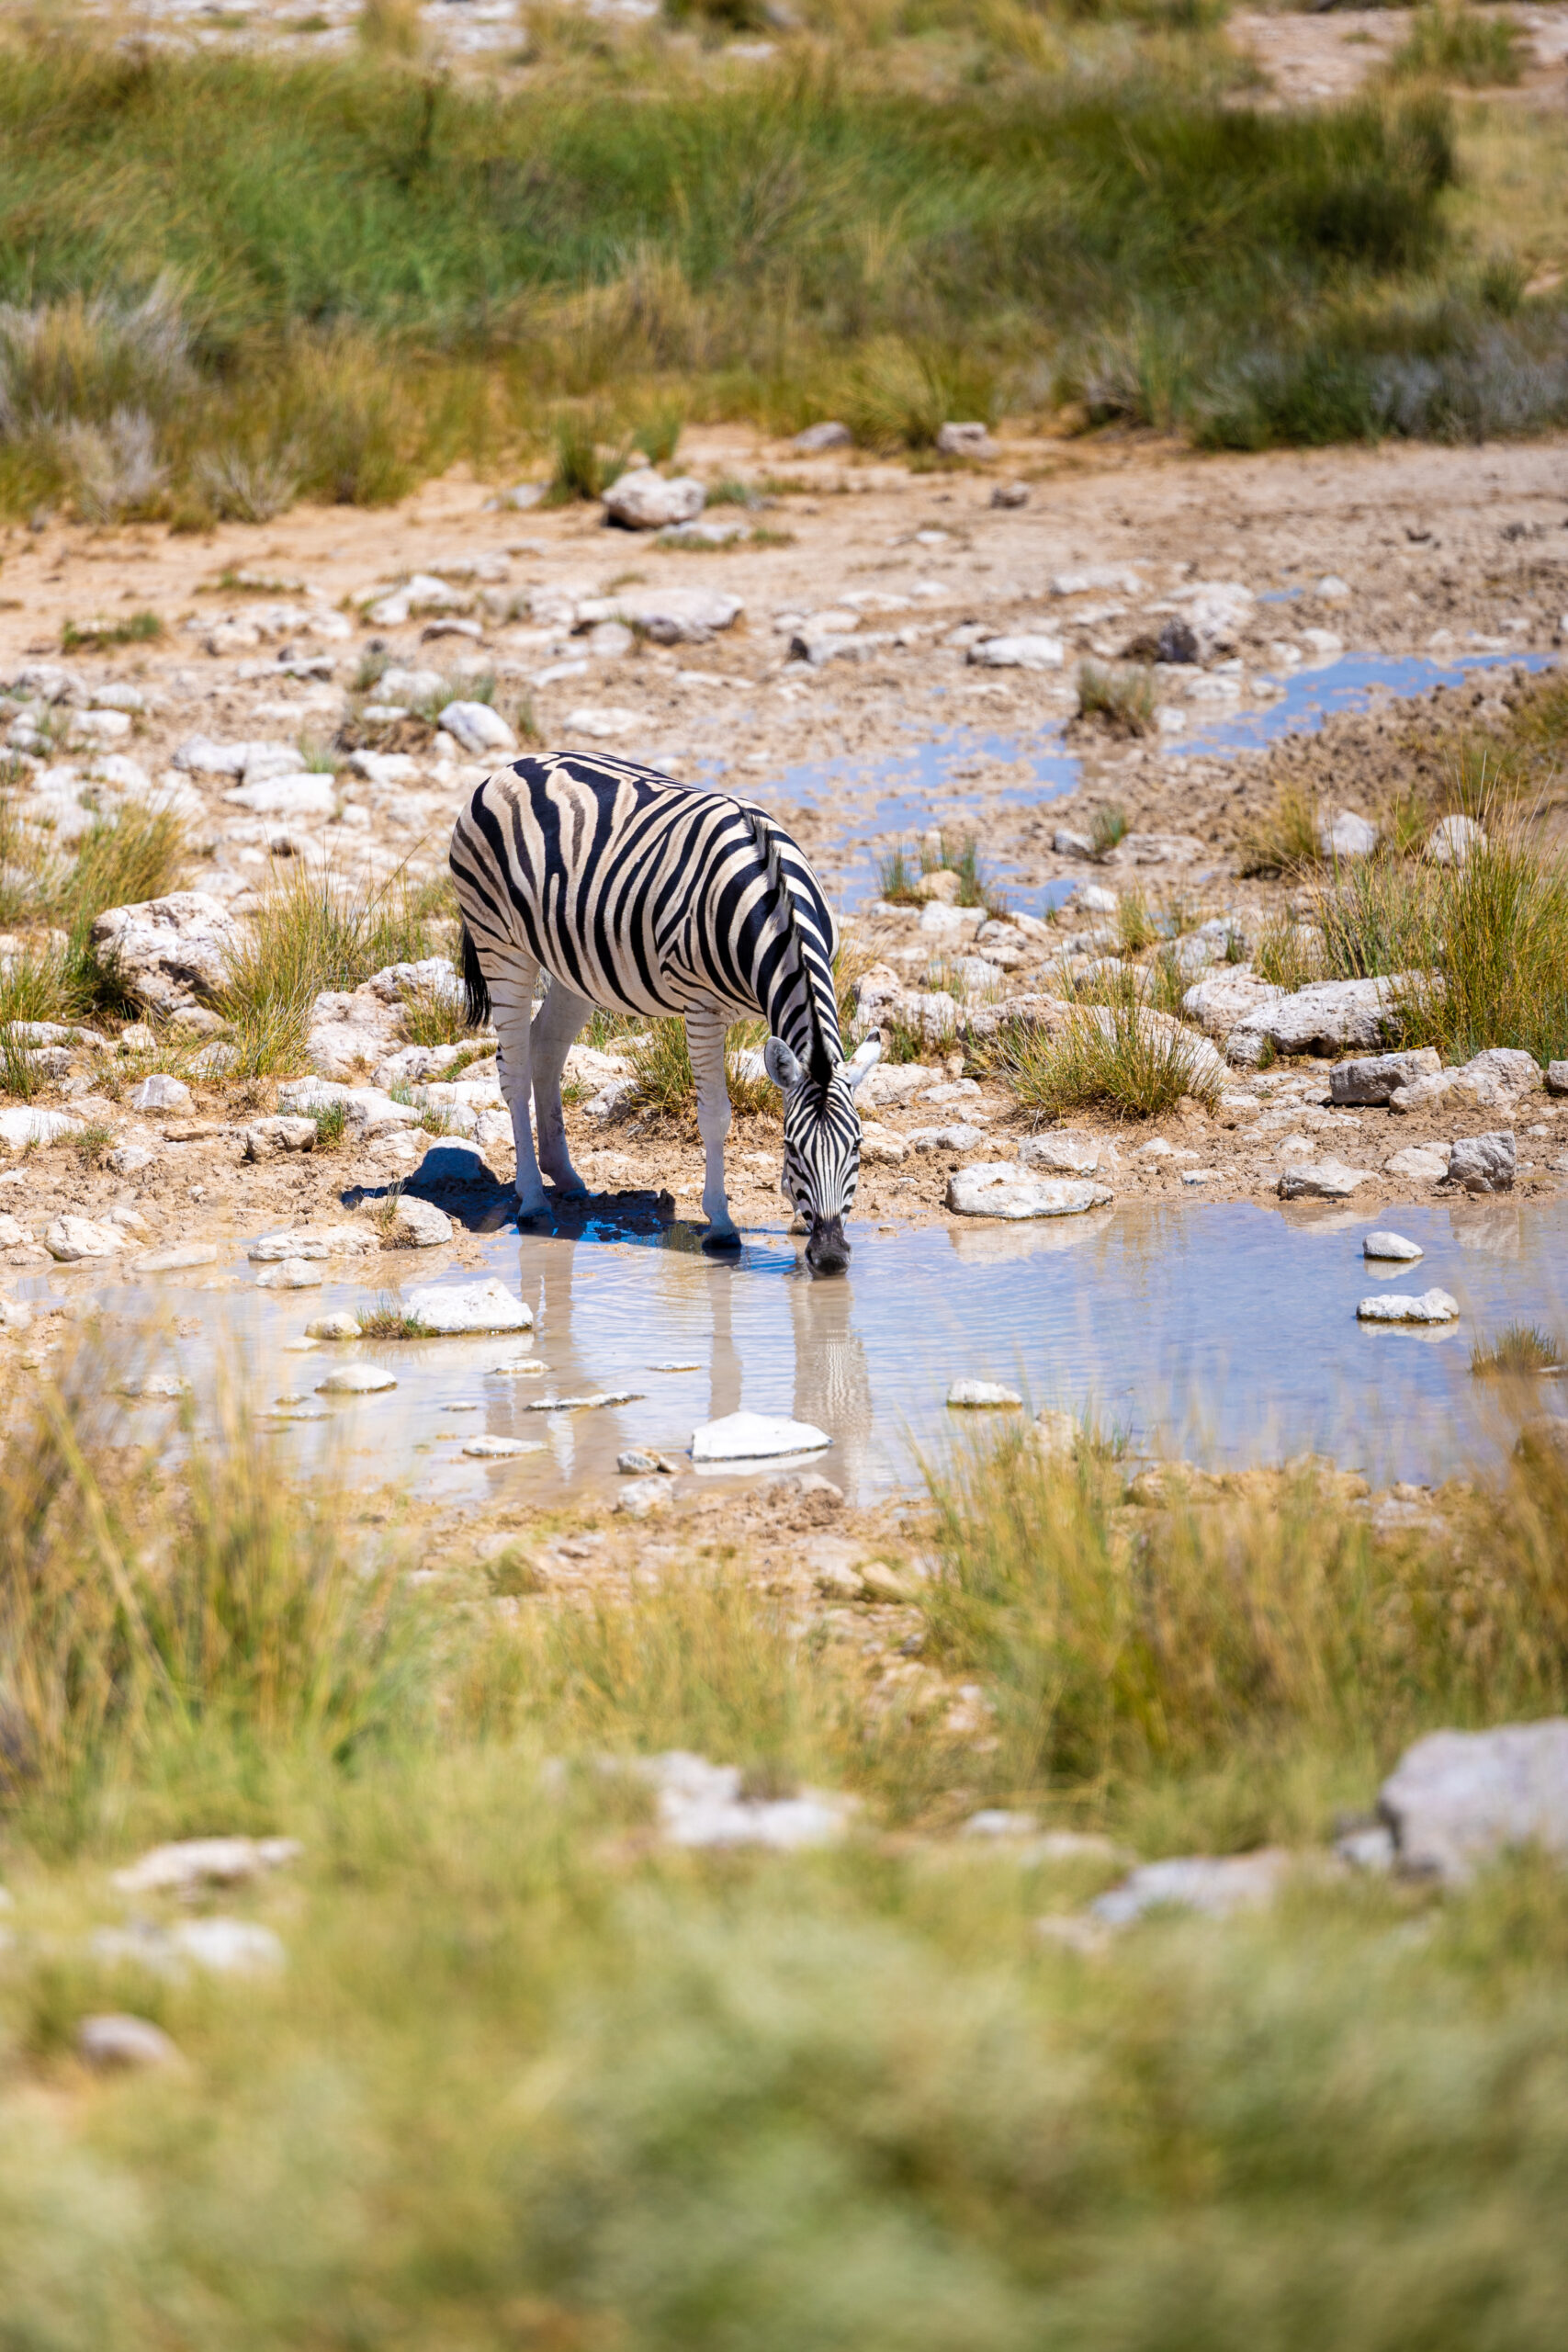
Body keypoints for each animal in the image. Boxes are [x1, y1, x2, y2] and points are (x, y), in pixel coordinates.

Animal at [448, 750, 881, 1275]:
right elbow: (715, 1116)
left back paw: (565, 1176)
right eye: (795, 1149)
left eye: (857, 1147)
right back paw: (532, 1199)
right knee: (511, 1067)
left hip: (574, 964)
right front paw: (721, 1223)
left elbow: (785, 1095)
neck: (774, 902)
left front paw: (796, 1215)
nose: (832, 1258)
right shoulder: (702, 1010)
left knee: (545, 1050)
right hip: (499, 944)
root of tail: (514, 765)